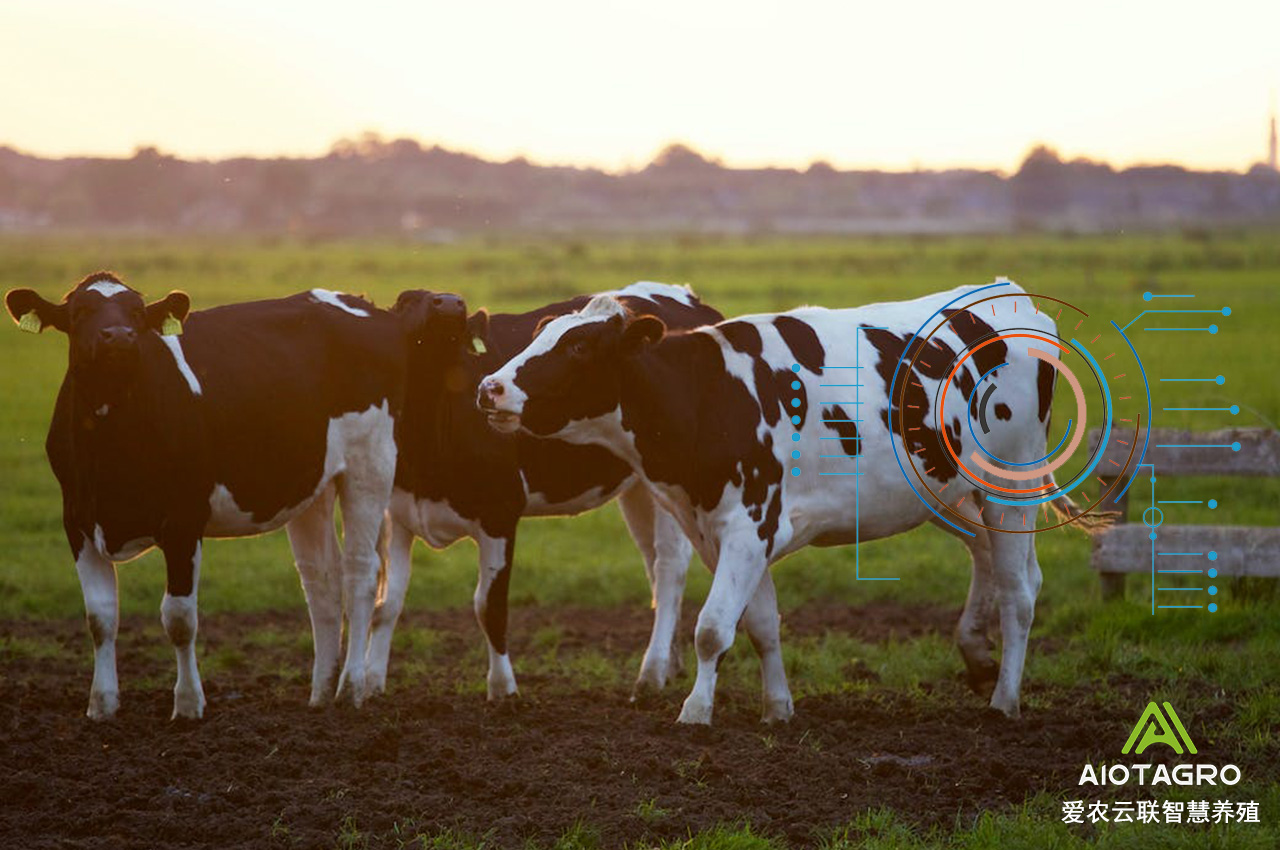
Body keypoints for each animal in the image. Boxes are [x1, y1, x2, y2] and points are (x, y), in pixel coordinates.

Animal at [2, 272, 437, 716]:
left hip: (371, 464)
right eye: (80, 312)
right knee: (322, 580)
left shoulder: (183, 520)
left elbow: (179, 618)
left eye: (137, 313)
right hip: (312, 484)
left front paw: (188, 704)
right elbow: (99, 618)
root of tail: (366, 306)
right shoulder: (77, 521)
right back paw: (319, 694)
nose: (119, 336)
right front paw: (102, 706)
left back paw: (350, 689)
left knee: (361, 573)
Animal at [366, 280, 727, 696]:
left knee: (669, 569)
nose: (450, 303)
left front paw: (503, 689)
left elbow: (489, 606)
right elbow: (386, 603)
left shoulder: (500, 512)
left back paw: (651, 673)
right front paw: (368, 683)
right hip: (640, 488)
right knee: (652, 564)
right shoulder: (398, 513)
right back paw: (670, 664)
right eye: (405, 301)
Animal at [481, 279, 1090, 721]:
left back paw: (1004, 700)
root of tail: (1011, 294)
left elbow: (711, 628)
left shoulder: (748, 526)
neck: (708, 396)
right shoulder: (725, 533)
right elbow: (759, 625)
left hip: (1011, 486)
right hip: (948, 493)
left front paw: (695, 711)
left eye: (579, 345)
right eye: (540, 334)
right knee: (993, 559)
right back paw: (978, 657)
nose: (490, 387)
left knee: (1019, 594)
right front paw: (777, 708)